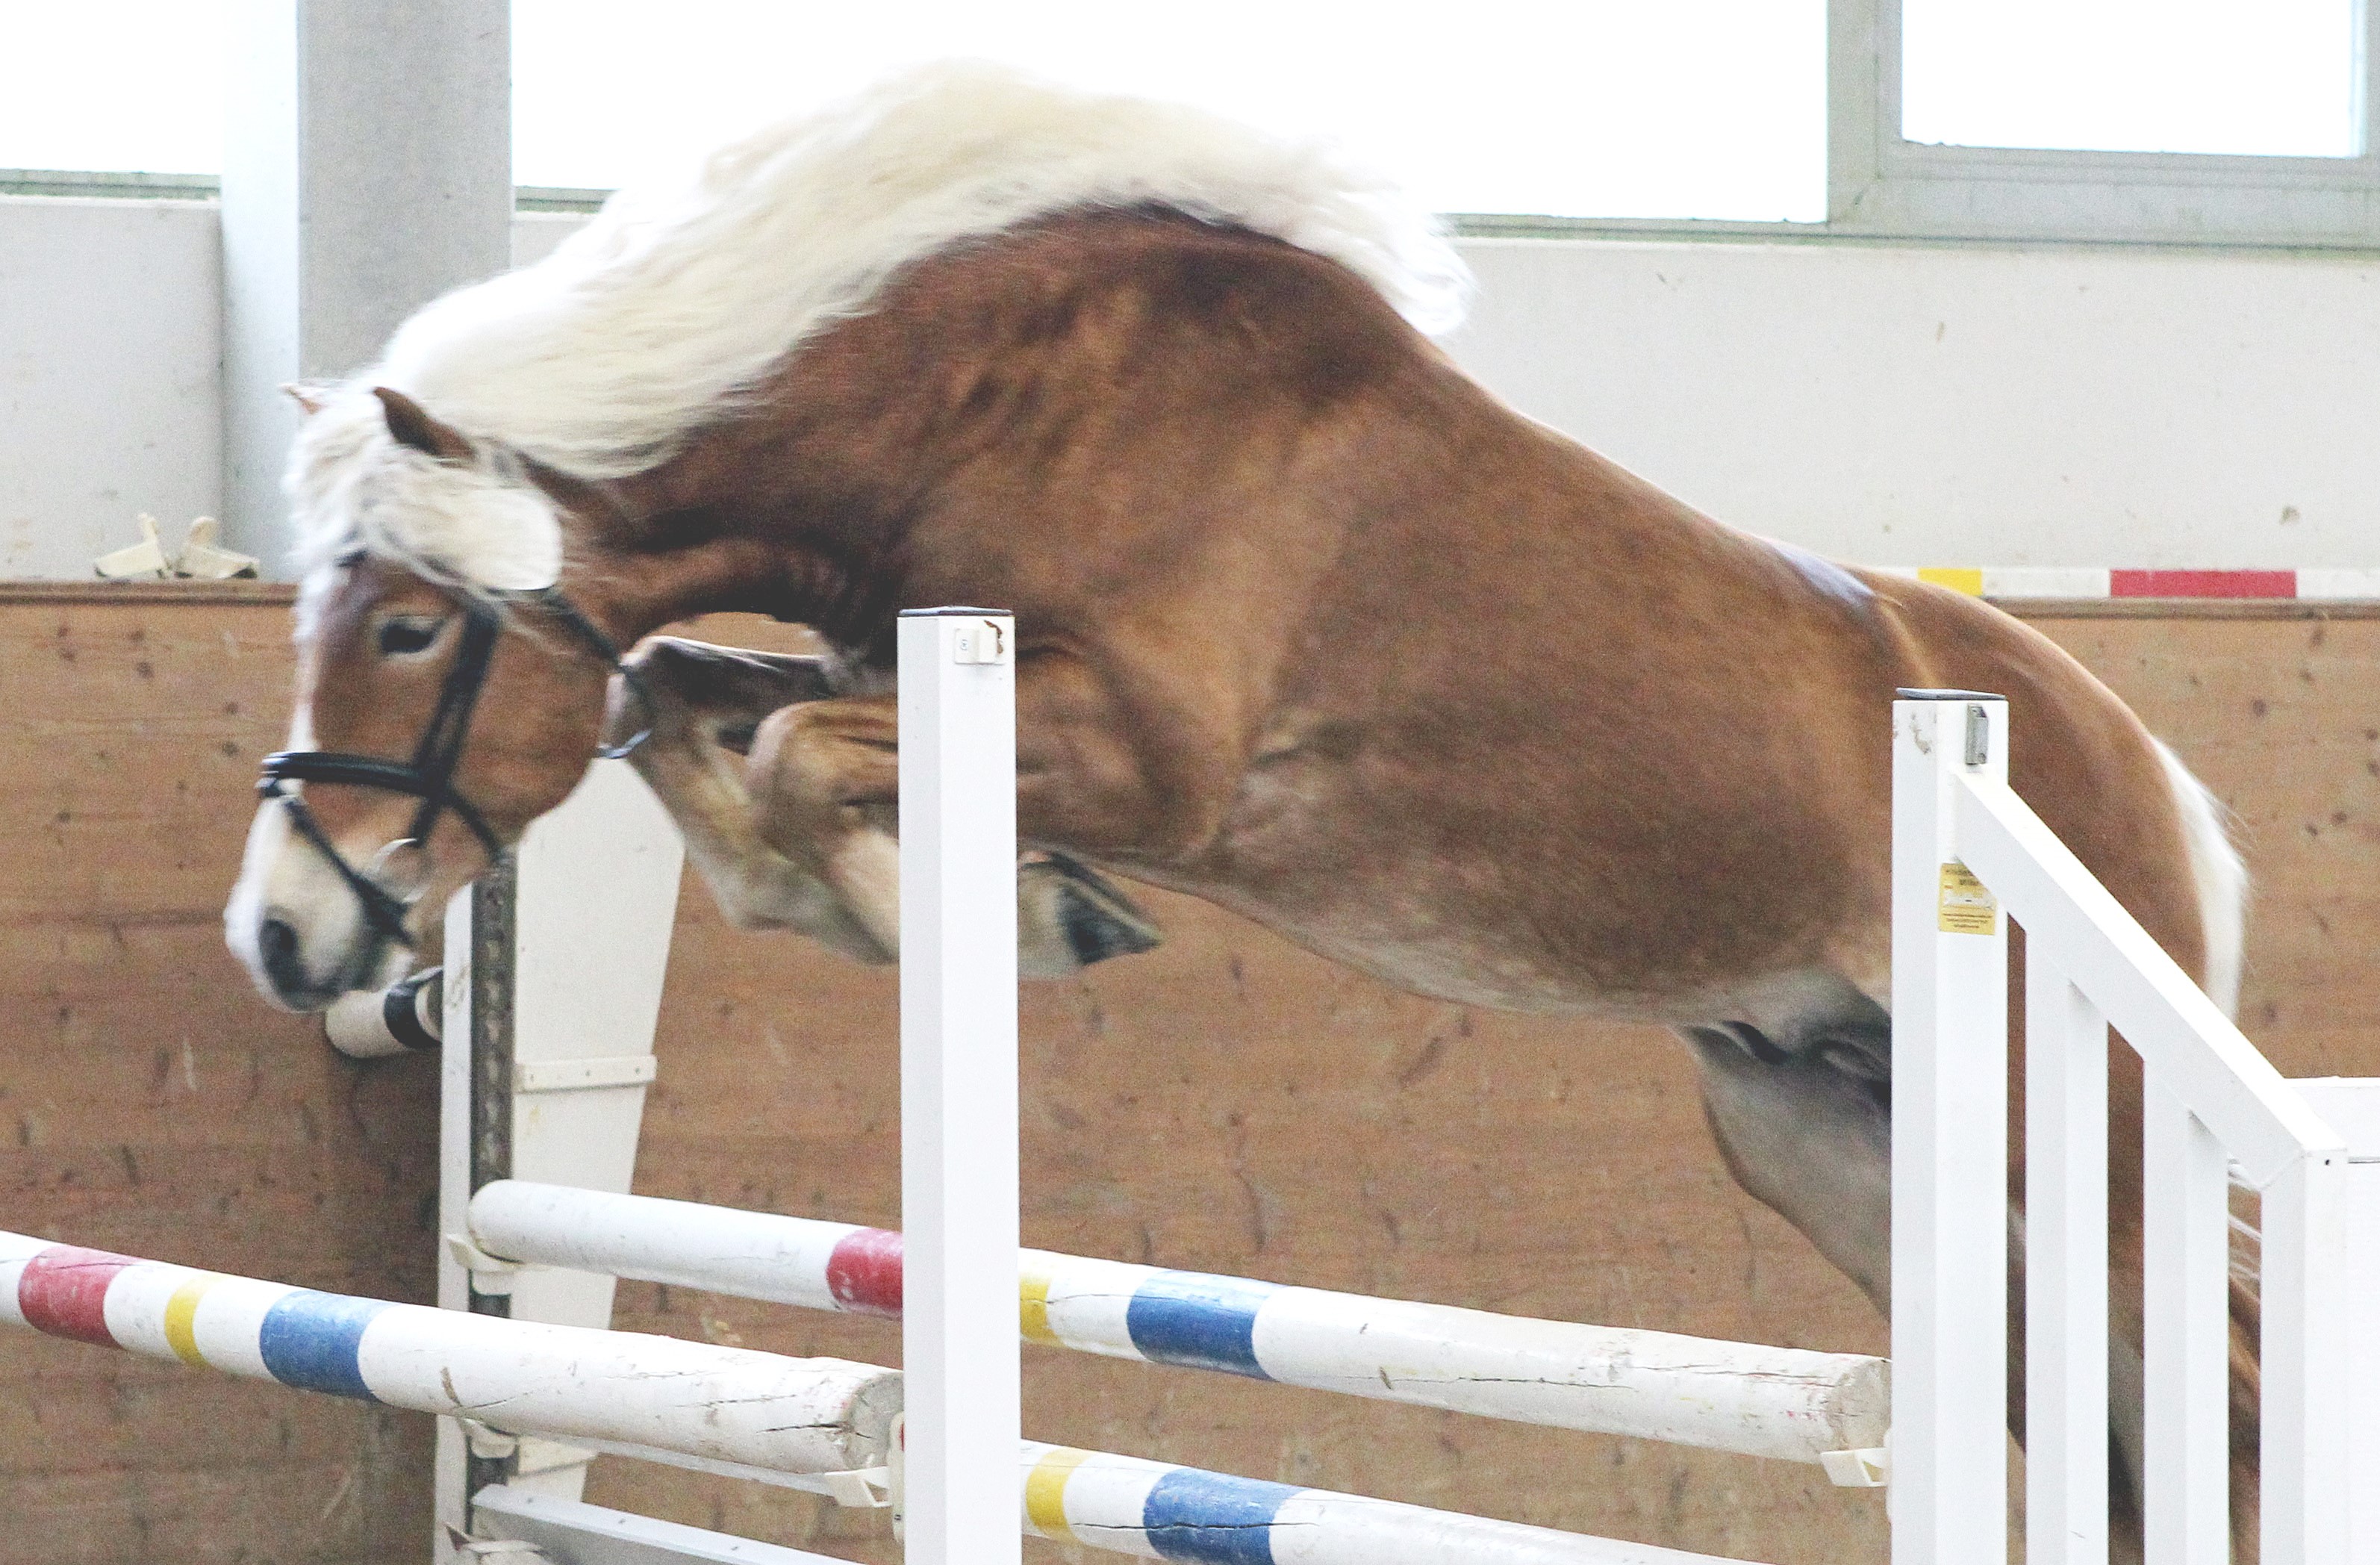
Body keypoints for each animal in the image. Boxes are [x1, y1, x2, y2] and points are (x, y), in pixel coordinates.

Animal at [223, 63, 2246, 1553]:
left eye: (405, 625)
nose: (282, 935)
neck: (1001, 404)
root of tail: (2134, 769)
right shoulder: (892, 666)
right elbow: (673, 696)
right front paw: (983, 897)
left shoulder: (1150, 756)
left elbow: (788, 753)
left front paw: (992, 911)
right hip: (1838, 1137)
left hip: (2074, 1137)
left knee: (2215, 1369)